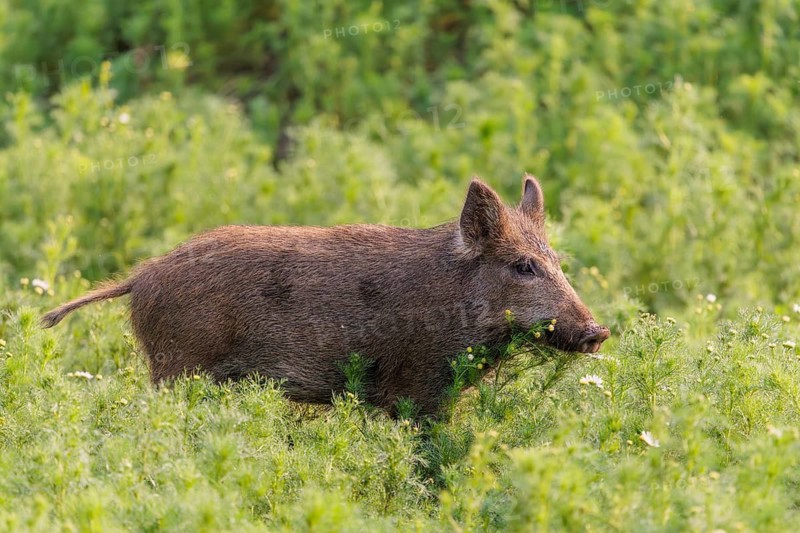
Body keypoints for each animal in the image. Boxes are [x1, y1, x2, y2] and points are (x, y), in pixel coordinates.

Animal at [42, 175, 609, 415]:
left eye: (558, 261)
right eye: (523, 265)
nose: (599, 331)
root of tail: (141, 277)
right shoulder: (414, 388)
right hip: (178, 367)